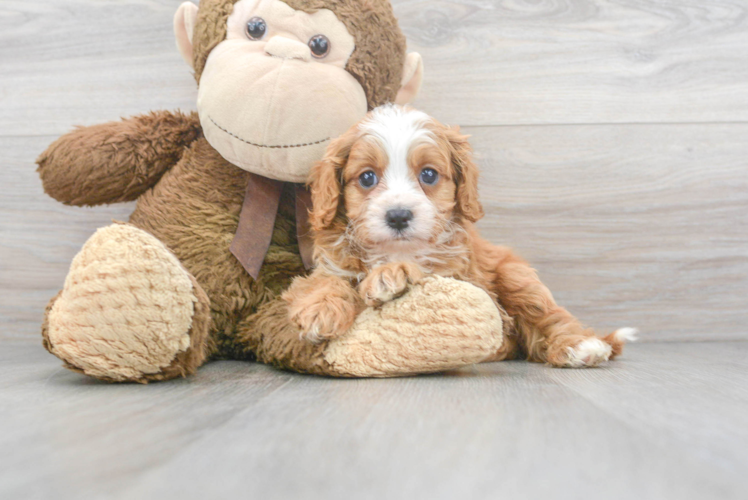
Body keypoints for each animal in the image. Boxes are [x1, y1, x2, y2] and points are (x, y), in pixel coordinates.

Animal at [284, 104, 636, 368]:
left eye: (428, 174)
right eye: (367, 178)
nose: (398, 216)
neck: (397, 250)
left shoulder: (457, 277)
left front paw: (389, 276)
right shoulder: (330, 265)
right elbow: (323, 281)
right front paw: (320, 310)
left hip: (515, 275)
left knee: (550, 316)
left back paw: (581, 347)